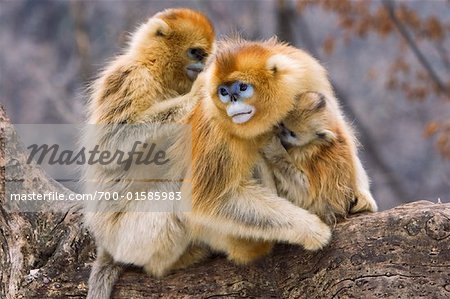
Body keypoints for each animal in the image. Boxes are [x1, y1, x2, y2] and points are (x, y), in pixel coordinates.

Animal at [84, 8, 214, 298]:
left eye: (206, 54)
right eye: (196, 53)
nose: (203, 66)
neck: (155, 70)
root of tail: (105, 244)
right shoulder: (133, 79)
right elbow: (113, 146)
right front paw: (199, 92)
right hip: (128, 237)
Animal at [262, 92, 378, 226]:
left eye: (292, 133)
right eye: (282, 124)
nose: (281, 133)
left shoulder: (306, 153)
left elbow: (307, 194)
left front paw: (273, 147)